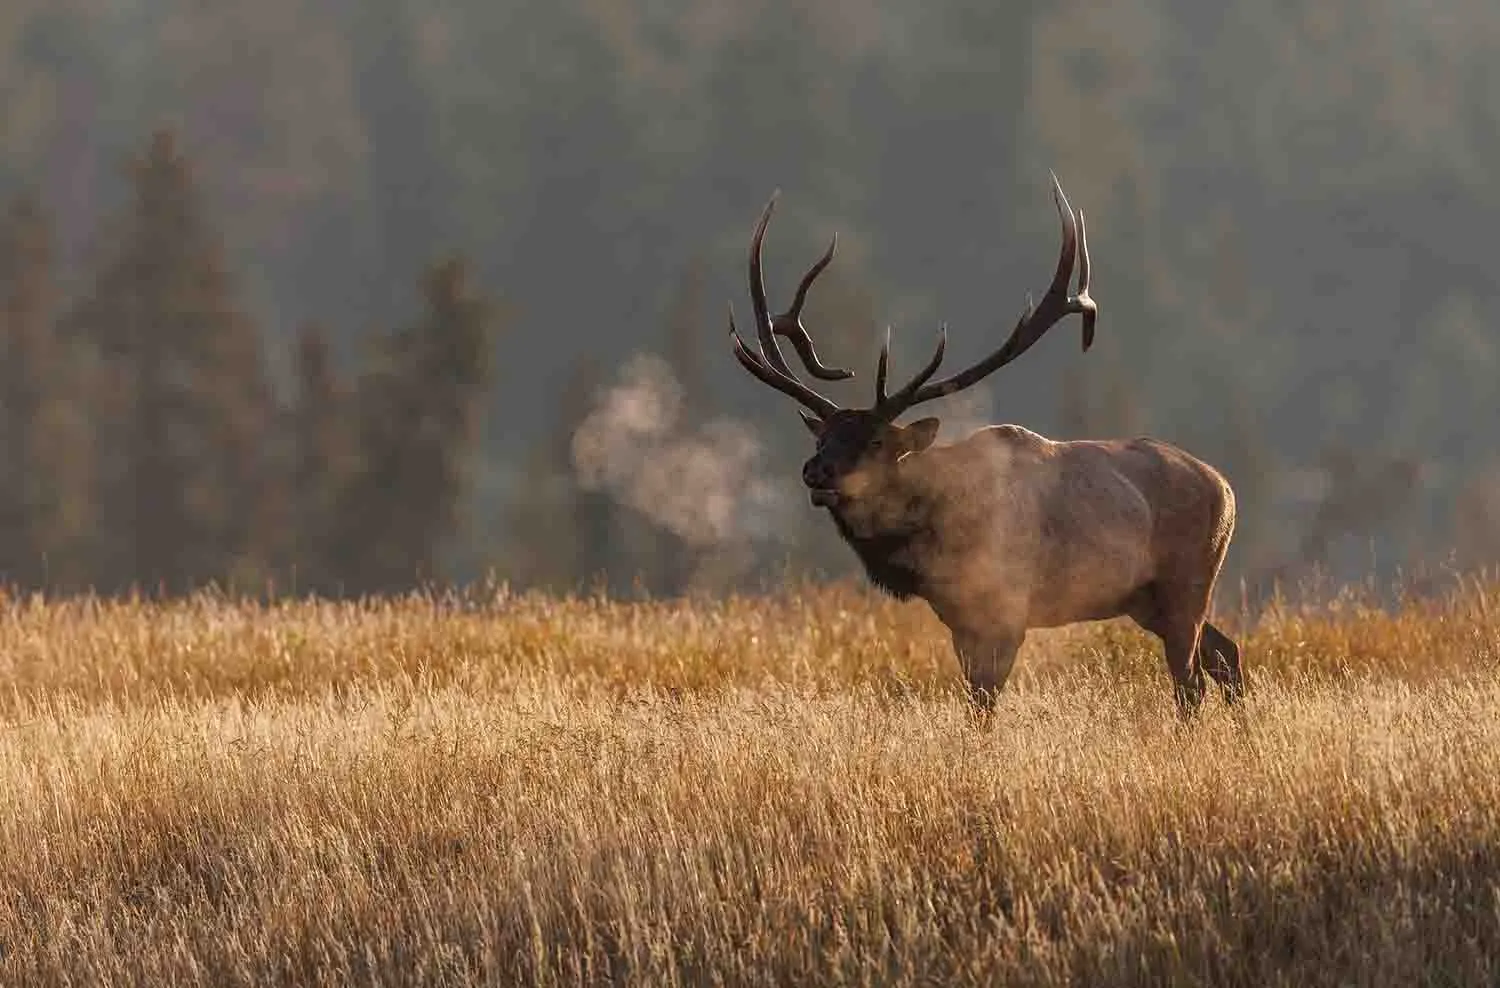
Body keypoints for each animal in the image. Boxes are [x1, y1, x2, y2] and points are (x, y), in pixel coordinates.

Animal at [726, 176, 1243, 716]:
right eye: (823, 436)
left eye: (876, 440)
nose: (816, 471)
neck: (937, 539)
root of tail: (1227, 489)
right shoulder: (959, 618)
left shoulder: (1006, 608)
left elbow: (985, 702)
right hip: (1147, 600)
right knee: (1226, 653)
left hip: (1189, 582)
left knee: (1191, 680)